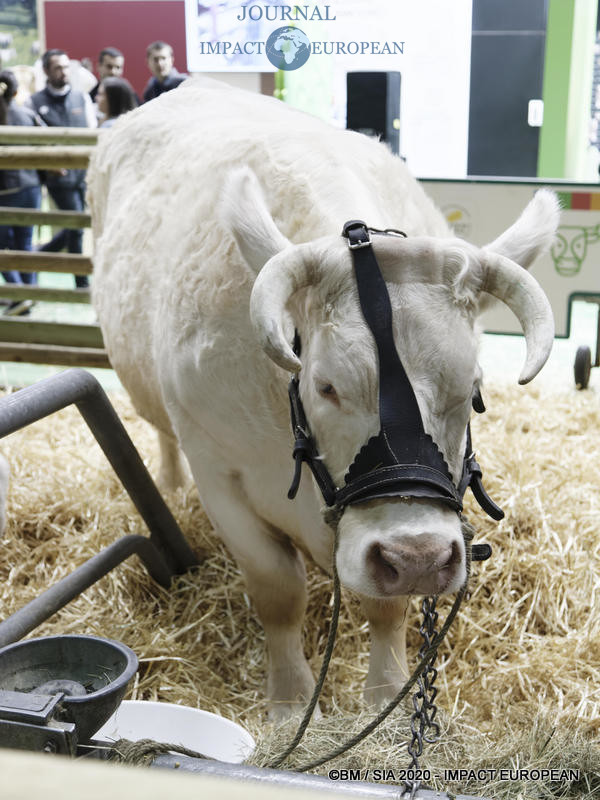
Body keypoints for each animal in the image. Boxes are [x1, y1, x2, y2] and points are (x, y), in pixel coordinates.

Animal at [88, 79, 556, 720]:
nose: (418, 558)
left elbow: (386, 607)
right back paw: (170, 482)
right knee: (161, 434)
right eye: (326, 385)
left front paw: (385, 698)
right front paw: (289, 700)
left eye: (472, 388)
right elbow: (278, 590)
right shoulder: (220, 473)